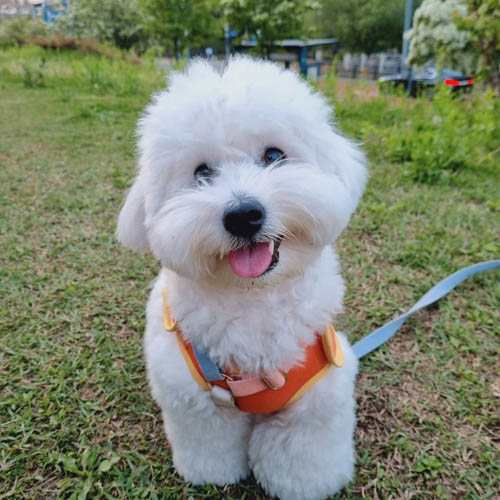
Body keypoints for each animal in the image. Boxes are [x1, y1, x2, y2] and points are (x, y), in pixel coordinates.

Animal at [117, 56, 368, 498]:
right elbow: (210, 444)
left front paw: (306, 485)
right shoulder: (194, 399)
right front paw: (212, 474)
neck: (253, 297)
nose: (243, 214)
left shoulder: (319, 395)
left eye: (273, 155)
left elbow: (303, 453)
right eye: (202, 173)